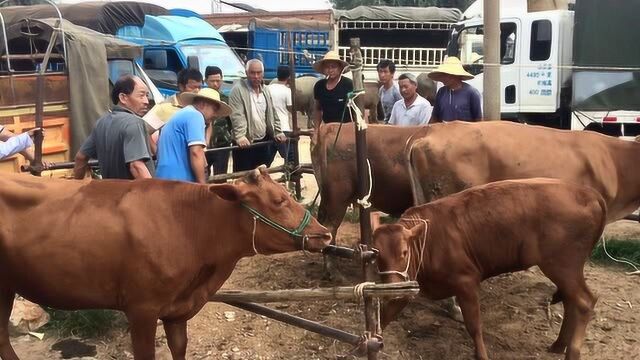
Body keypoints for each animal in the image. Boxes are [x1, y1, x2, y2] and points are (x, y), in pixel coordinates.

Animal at [372, 179, 608, 360]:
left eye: (404, 252)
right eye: (376, 253)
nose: (390, 287)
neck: (428, 240)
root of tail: (587, 192)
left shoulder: (466, 282)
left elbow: (474, 325)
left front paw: (481, 355)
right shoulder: (407, 285)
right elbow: (385, 316)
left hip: (562, 265)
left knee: (584, 302)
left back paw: (572, 352)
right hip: (565, 270)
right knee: (571, 301)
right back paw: (558, 345)